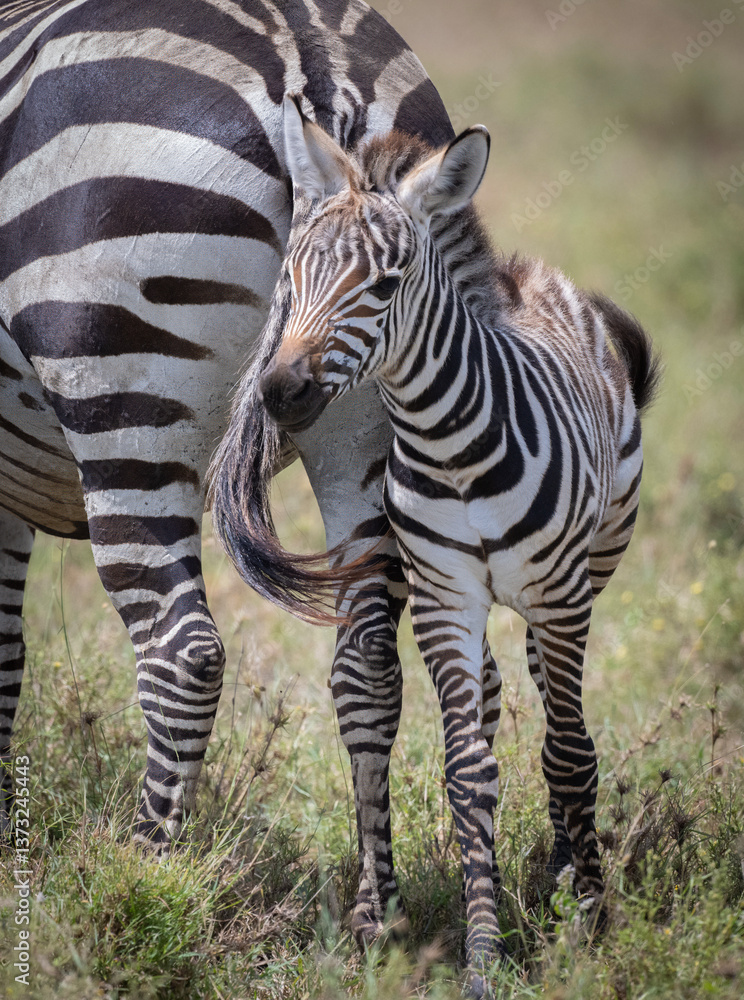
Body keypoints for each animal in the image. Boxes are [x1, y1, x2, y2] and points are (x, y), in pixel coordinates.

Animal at [0, 0, 467, 901]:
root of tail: (309, 58)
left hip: (125, 390)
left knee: (184, 654)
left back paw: (141, 875)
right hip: (365, 407)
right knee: (370, 661)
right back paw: (376, 913)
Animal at [252, 97, 660, 991]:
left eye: (384, 284)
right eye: (291, 277)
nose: (280, 390)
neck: (452, 446)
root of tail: (528, 273)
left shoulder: (558, 596)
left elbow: (569, 754)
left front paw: (594, 924)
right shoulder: (445, 598)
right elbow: (468, 775)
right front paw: (482, 953)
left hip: (584, 574)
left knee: (564, 727)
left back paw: (571, 877)